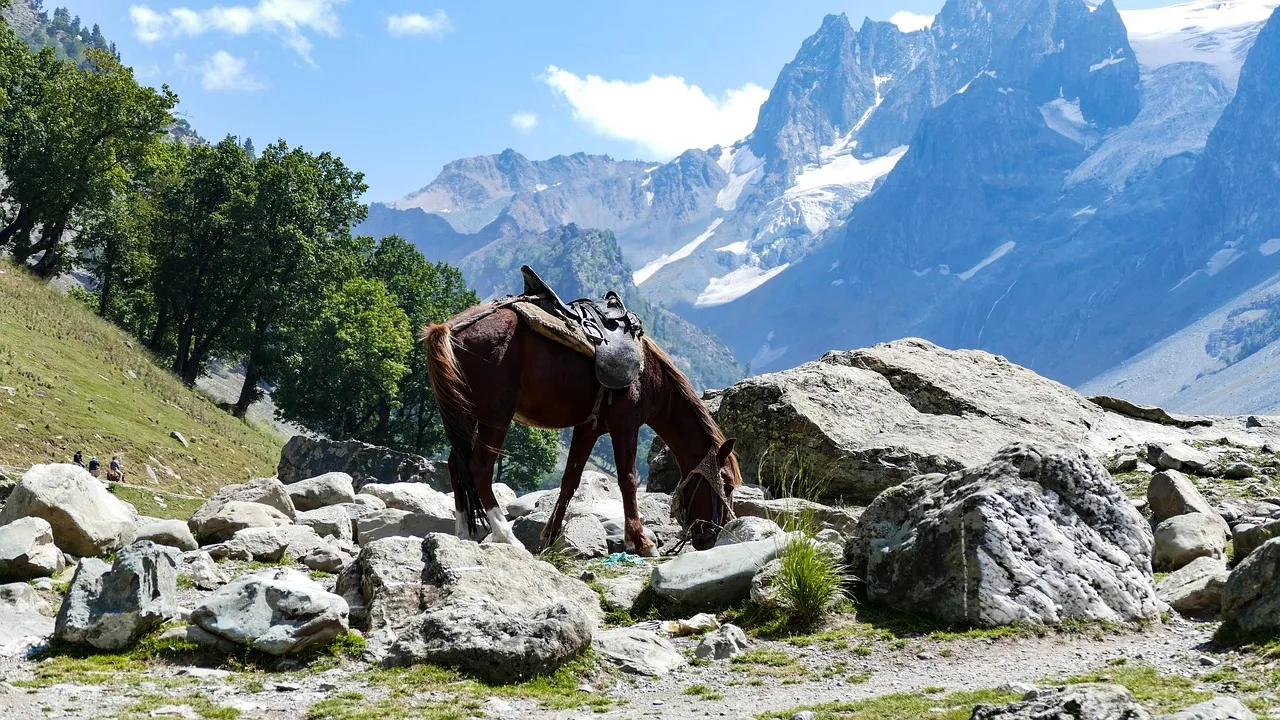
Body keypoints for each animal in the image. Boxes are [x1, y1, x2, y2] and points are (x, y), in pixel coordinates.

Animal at [422, 304, 743, 555]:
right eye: (726, 484)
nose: (712, 536)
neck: (650, 375)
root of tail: (448, 329)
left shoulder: (588, 429)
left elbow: (569, 481)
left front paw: (550, 537)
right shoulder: (624, 423)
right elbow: (628, 479)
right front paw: (641, 542)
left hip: (465, 414)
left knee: (456, 465)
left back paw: (463, 533)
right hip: (495, 415)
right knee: (479, 467)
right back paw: (507, 536)